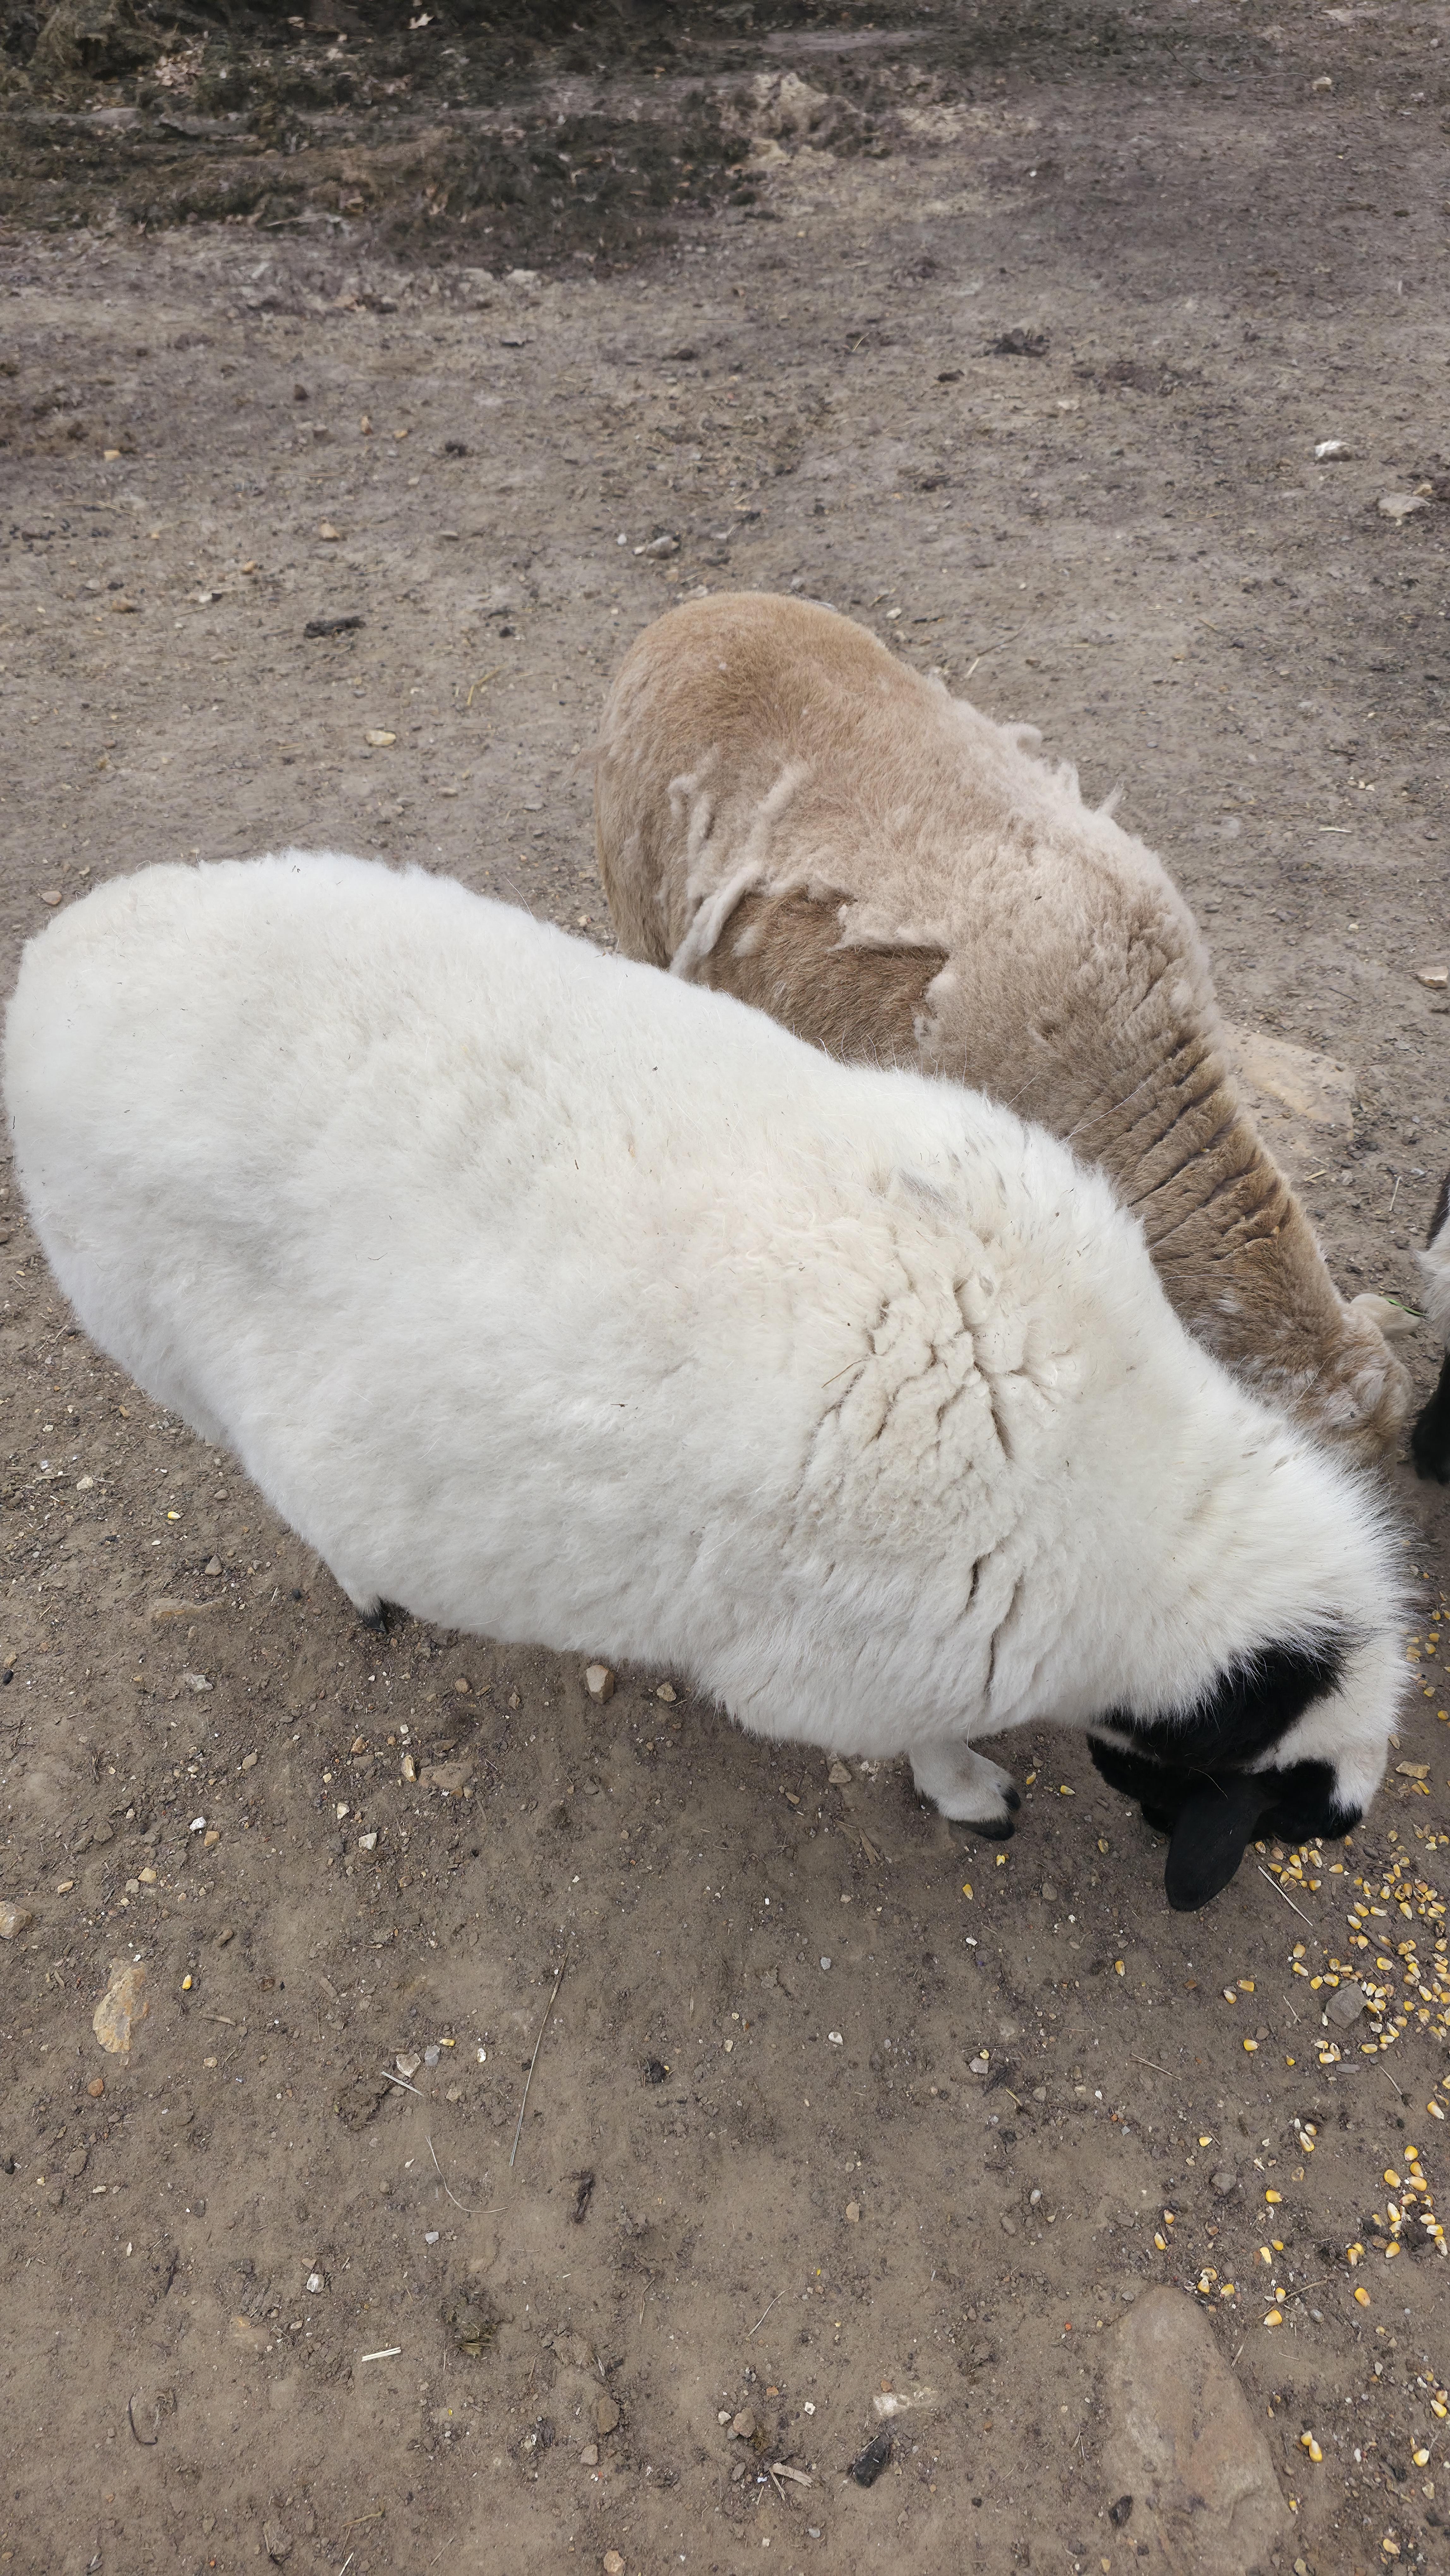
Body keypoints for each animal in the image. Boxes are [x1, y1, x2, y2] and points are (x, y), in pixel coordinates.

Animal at [4, 850, 1406, 1911]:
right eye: (1276, 1812)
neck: (1126, 1478)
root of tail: (58, 957)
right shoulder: (859, 1674)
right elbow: (929, 1745)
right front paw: (973, 1797)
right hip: (152, 1343)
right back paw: (367, 1588)